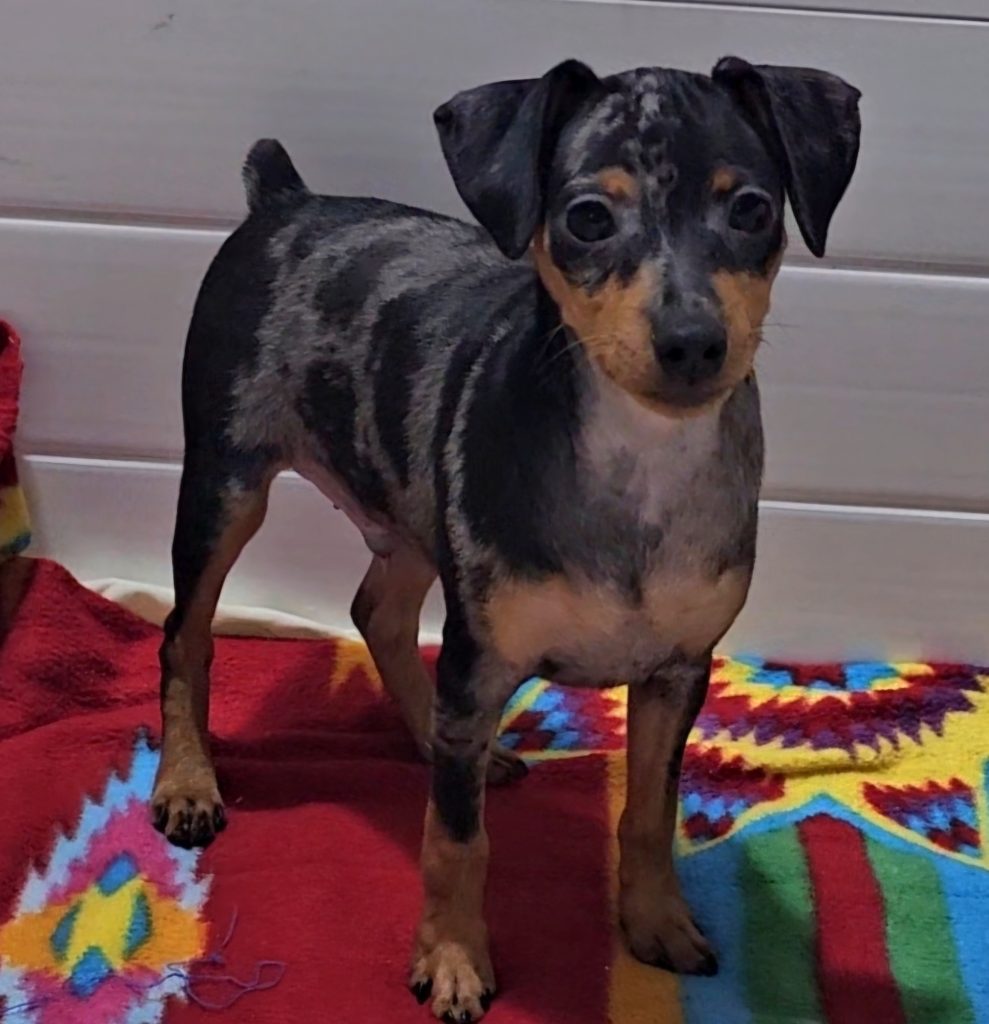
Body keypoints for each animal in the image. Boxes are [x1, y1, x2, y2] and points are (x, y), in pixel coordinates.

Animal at [152, 56, 861, 1021]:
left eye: (750, 209)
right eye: (587, 218)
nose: (691, 344)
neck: (639, 462)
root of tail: (286, 200)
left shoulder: (677, 671)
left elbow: (649, 813)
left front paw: (655, 922)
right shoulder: (480, 653)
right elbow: (454, 839)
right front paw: (452, 958)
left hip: (412, 511)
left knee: (378, 614)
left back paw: (453, 745)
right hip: (226, 486)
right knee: (184, 636)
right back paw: (189, 782)